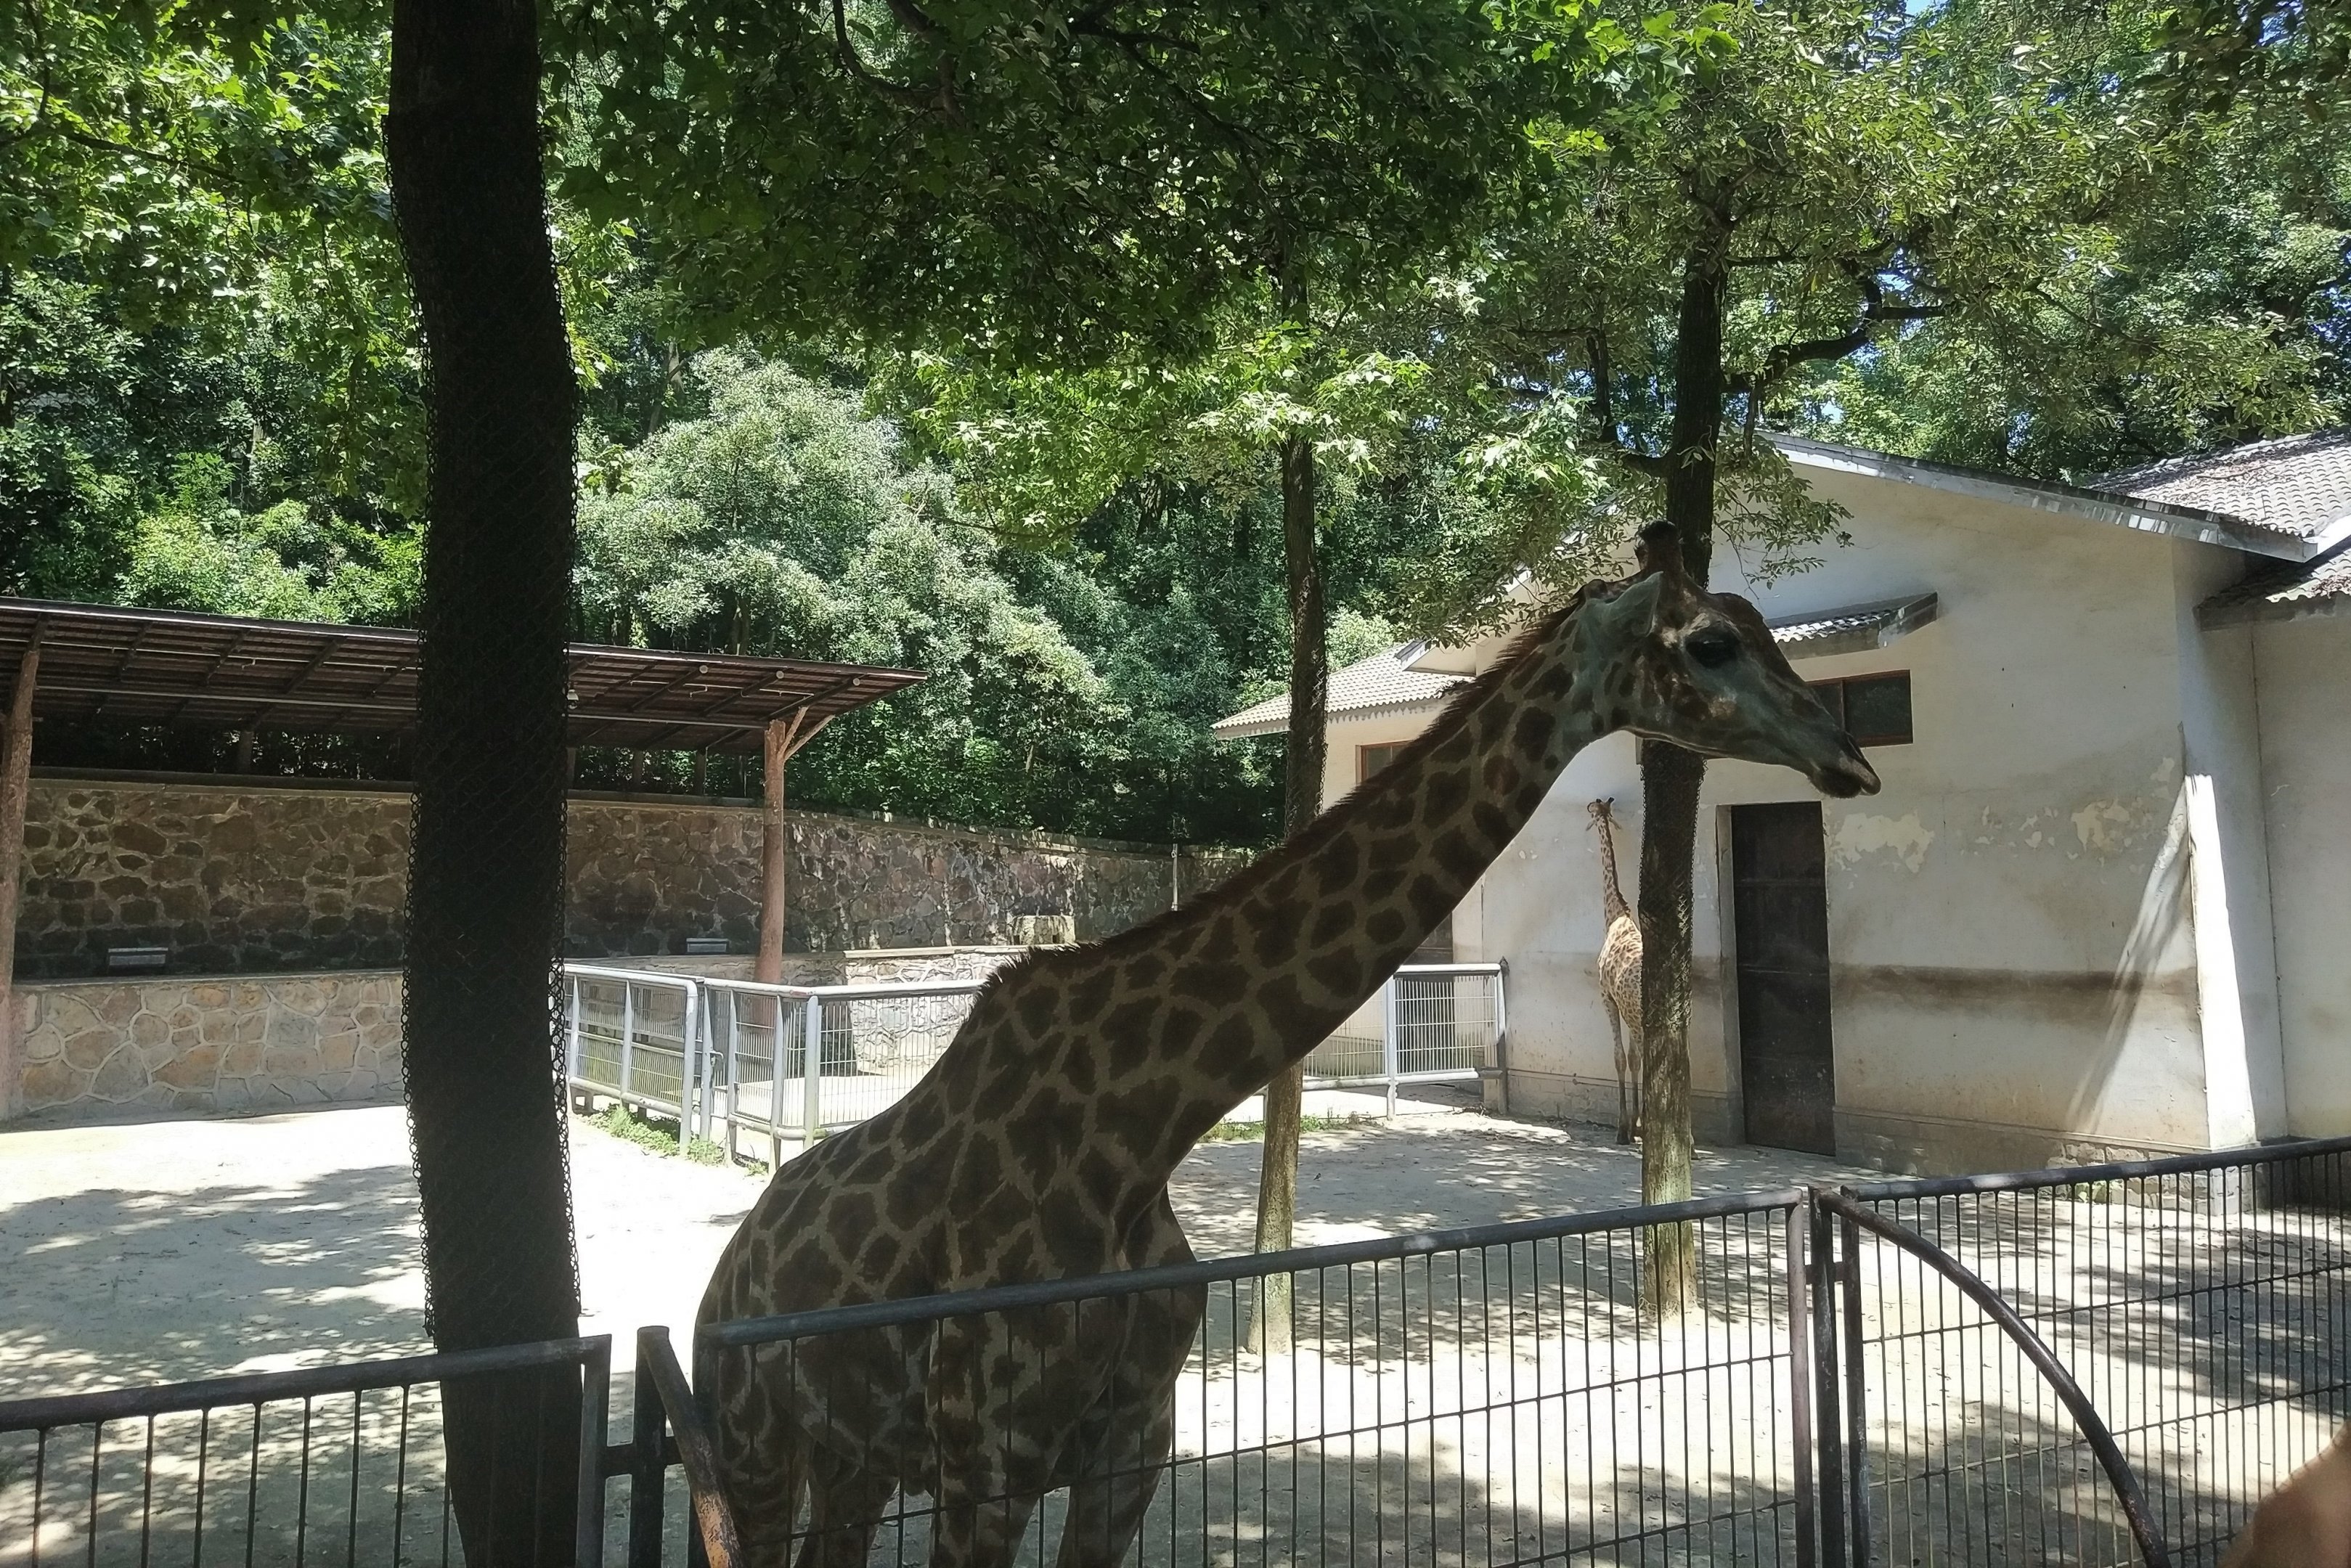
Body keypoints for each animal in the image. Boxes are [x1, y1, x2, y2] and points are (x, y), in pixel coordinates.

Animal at [696, 522, 1880, 1568]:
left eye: (1759, 623)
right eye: (1711, 642)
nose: (1851, 758)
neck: (1137, 1138)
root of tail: (725, 1280)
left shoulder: (1131, 1446)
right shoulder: (986, 1456)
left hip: (849, 1460)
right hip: (754, 1448)